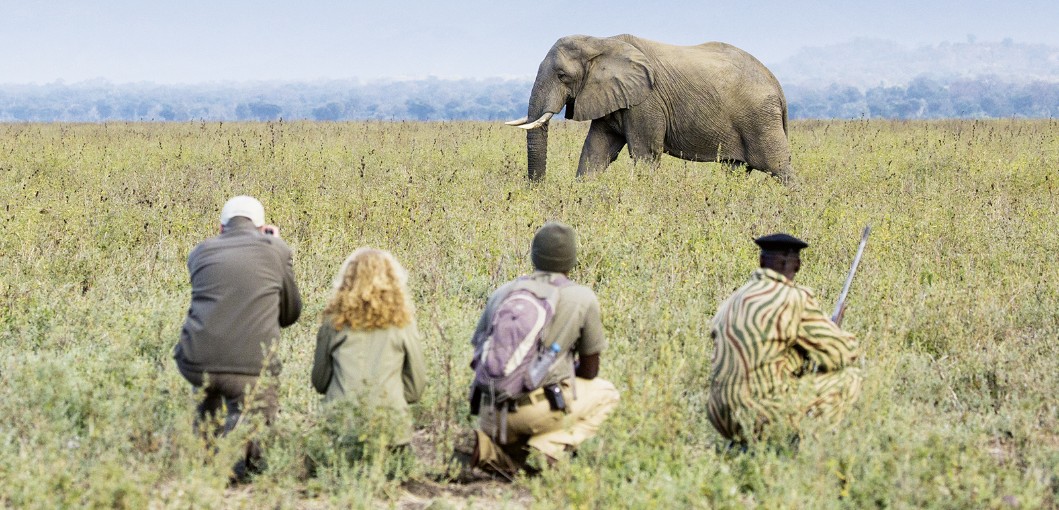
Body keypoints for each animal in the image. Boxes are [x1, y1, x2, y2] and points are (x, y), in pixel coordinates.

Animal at [508, 33, 792, 181]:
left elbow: (645, 153)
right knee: (735, 169)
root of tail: (777, 85)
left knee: (780, 167)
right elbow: (596, 150)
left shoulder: (647, 101)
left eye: (562, 76)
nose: (537, 187)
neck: (600, 42)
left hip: (760, 118)